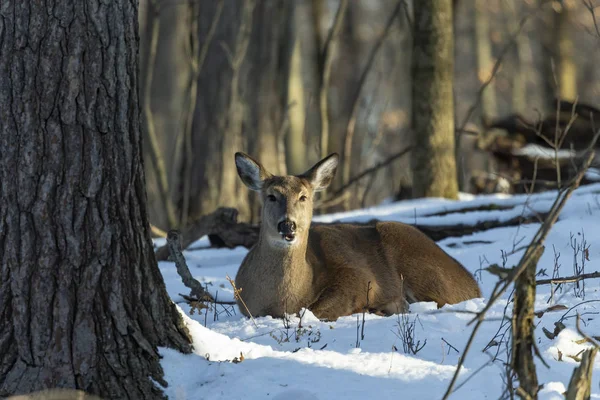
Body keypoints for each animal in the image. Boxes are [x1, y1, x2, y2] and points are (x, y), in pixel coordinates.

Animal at [232, 152, 480, 320]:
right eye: (271, 196)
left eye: (303, 196)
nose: (288, 225)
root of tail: (472, 284)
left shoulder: (359, 276)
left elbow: (317, 309)